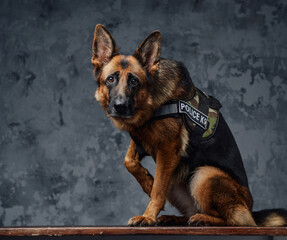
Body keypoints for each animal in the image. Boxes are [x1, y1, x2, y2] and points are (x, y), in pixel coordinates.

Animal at [93, 24, 287, 227]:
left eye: (134, 81)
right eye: (110, 79)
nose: (120, 106)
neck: (151, 101)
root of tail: (250, 208)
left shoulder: (168, 149)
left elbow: (158, 190)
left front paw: (148, 216)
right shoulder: (142, 139)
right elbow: (129, 161)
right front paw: (147, 182)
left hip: (204, 175)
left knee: (238, 221)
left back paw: (204, 219)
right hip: (176, 181)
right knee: (192, 211)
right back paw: (174, 218)